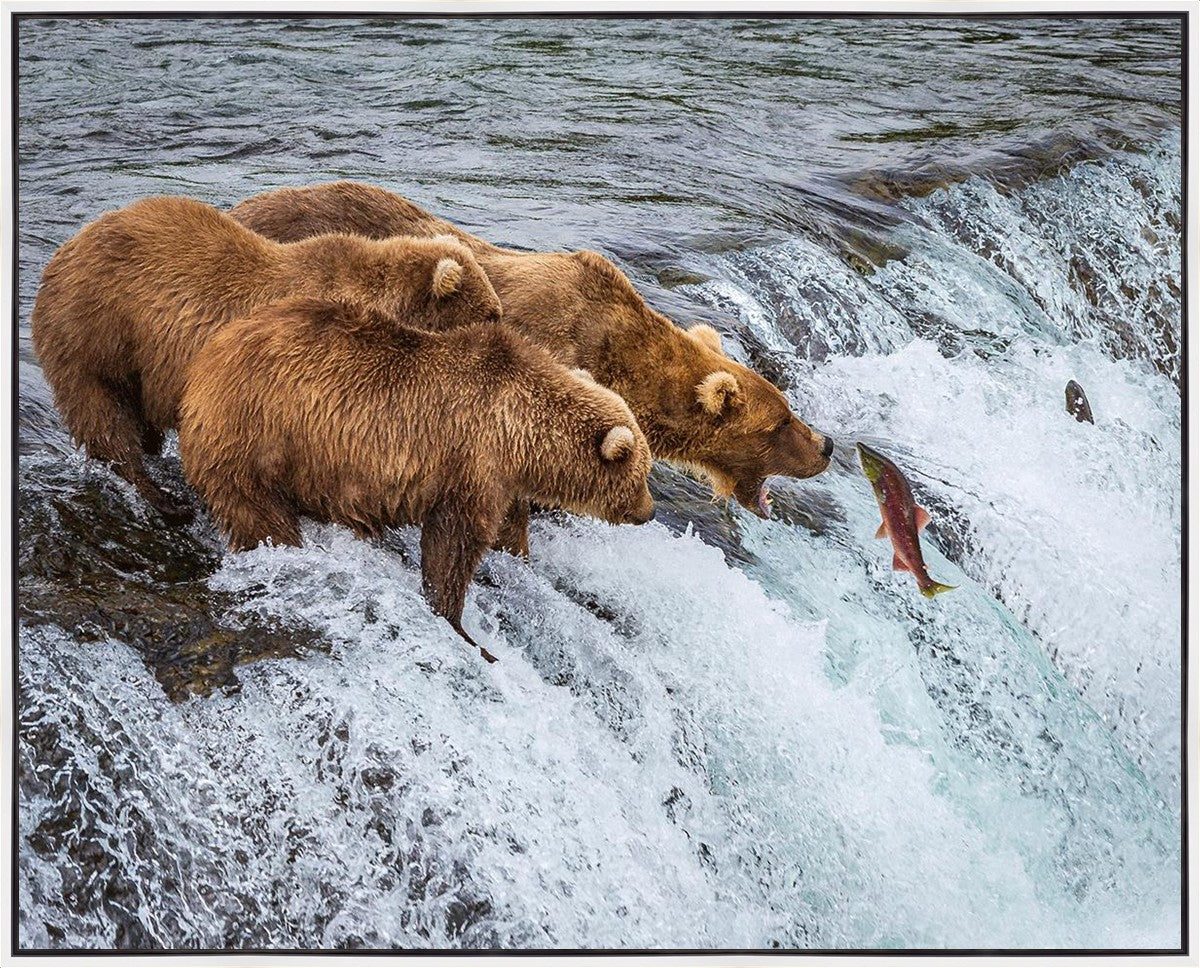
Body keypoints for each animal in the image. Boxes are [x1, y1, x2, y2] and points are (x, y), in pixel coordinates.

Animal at [30, 195, 503, 523]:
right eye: (491, 313)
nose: (504, 330)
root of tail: (64, 250)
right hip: (95, 332)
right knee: (103, 417)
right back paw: (163, 498)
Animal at [177, 296, 655, 661]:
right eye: (642, 474)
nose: (649, 512)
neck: (520, 432)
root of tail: (203, 363)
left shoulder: (501, 480)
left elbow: (506, 530)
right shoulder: (471, 462)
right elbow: (453, 545)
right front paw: (462, 627)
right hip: (256, 436)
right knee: (259, 514)